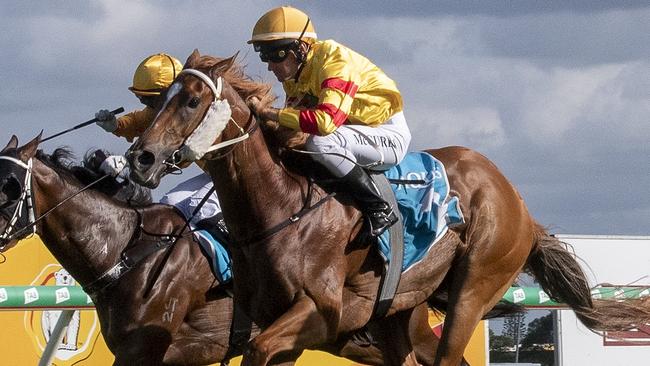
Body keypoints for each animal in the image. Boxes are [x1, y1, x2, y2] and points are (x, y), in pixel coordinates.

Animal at [126, 50, 648, 364]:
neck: (279, 209)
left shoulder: (322, 312)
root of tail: (516, 200)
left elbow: (258, 349)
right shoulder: (274, 316)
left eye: (192, 101)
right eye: (159, 101)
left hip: (475, 286)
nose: (141, 157)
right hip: (398, 309)